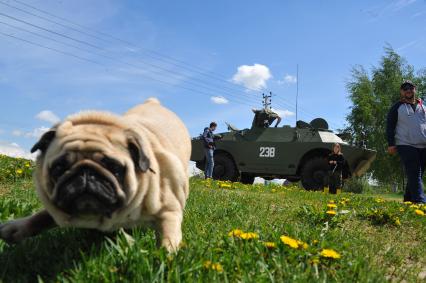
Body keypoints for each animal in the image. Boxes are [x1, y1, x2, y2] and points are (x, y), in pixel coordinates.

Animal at [0, 98, 191, 253]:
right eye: (59, 168)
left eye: (114, 167)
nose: (86, 173)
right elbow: (42, 216)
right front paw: (17, 228)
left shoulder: (169, 210)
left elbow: (168, 235)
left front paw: (165, 256)